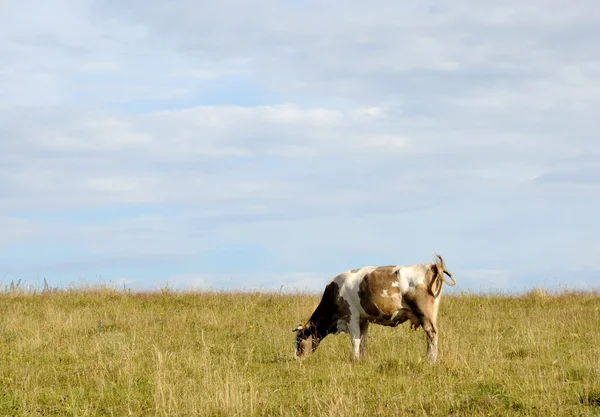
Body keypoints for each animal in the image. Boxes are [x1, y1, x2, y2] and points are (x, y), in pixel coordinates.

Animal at [292, 252, 458, 362]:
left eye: (299, 340)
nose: (295, 358)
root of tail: (432, 265)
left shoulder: (351, 316)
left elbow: (355, 340)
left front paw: (354, 360)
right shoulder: (363, 320)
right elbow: (363, 340)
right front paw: (361, 359)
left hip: (424, 312)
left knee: (431, 334)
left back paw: (430, 360)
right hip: (432, 312)